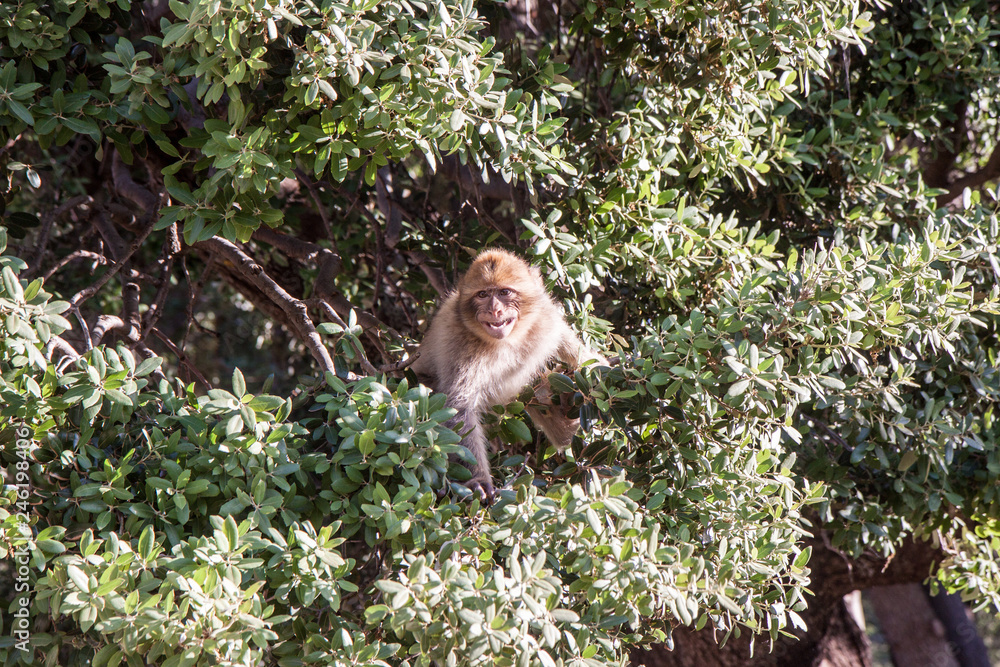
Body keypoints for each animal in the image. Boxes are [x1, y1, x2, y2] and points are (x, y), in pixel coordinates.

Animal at [411, 248, 607, 502]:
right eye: (483, 294)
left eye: (504, 292)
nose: (495, 310)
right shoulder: (460, 345)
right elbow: (458, 409)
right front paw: (478, 480)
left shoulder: (546, 317)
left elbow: (576, 352)